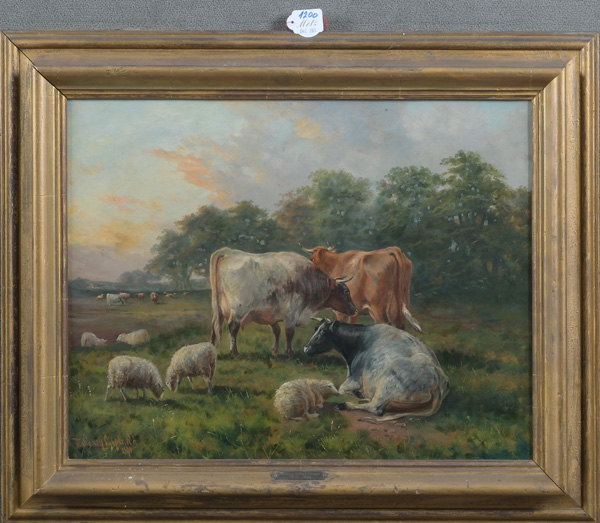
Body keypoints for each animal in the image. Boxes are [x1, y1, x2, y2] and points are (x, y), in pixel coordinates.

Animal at [209, 247, 358, 357]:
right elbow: (289, 332)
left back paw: (211, 348)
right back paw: (234, 352)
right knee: (233, 327)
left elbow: (277, 330)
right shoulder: (292, 313)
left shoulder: (271, 313)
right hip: (239, 309)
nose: (355, 309)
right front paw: (289, 353)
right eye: (346, 291)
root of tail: (228, 252)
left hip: (218, 308)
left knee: (214, 326)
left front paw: (275, 352)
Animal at [303, 318, 449, 423]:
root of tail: (438, 380)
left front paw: (356, 394)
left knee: (376, 408)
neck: (360, 342)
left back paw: (346, 404)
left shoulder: (354, 379)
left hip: (386, 384)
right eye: (316, 328)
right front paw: (359, 395)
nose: (306, 348)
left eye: (323, 331)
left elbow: (341, 389)